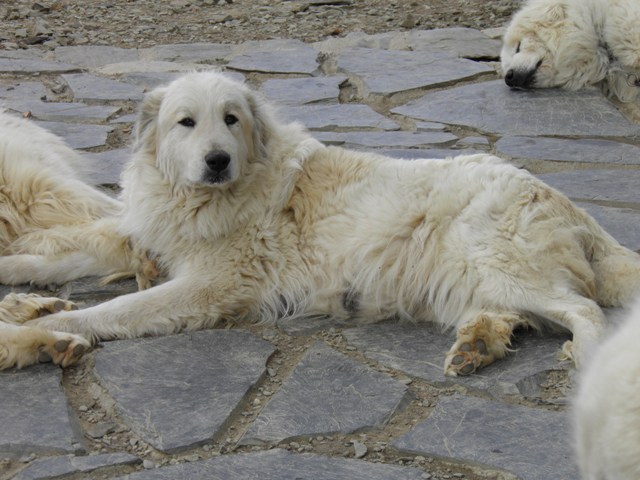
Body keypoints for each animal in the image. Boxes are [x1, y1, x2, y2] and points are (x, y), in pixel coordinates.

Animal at [1, 70, 640, 376]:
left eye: (230, 119)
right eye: (186, 122)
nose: (217, 160)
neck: (203, 198)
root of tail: (572, 205)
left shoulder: (211, 286)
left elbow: (112, 309)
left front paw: (50, 323)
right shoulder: (149, 239)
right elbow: (69, 254)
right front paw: (21, 287)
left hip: (489, 255)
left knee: (584, 309)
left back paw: (579, 357)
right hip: (471, 279)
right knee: (517, 315)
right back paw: (477, 346)